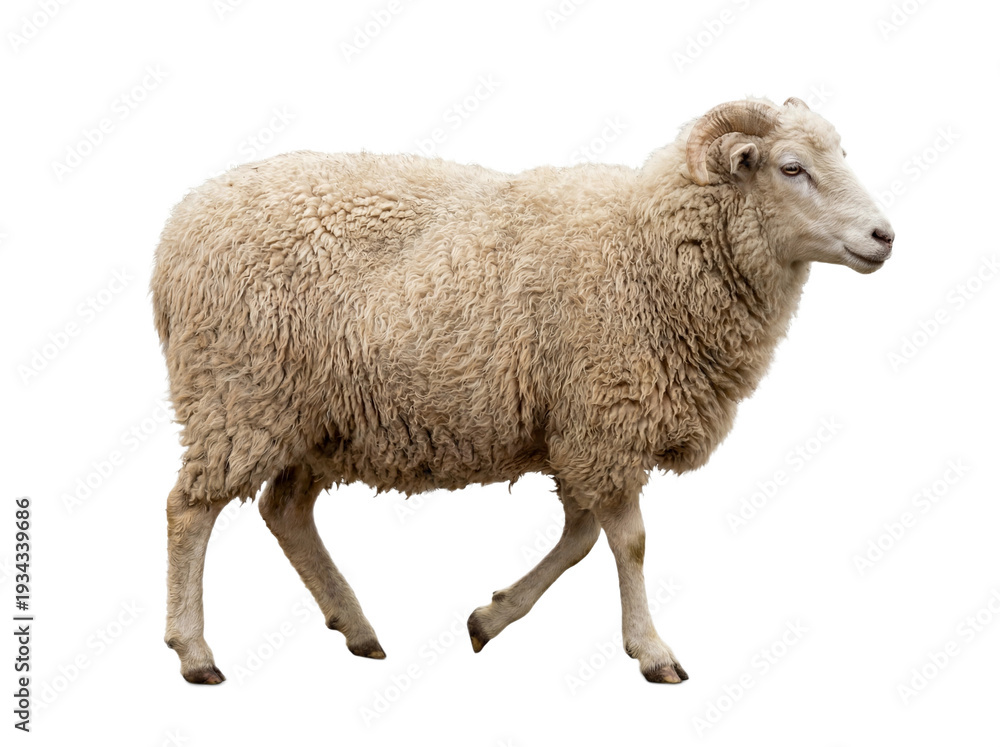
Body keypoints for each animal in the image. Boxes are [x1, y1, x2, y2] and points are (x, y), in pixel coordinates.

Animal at [153, 96, 894, 685]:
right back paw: (195, 652)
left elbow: (581, 539)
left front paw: (490, 617)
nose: (884, 236)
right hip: (239, 395)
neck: (650, 245)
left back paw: (356, 626)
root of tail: (179, 228)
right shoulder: (605, 419)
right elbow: (628, 543)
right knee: (189, 510)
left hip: (316, 418)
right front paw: (652, 651)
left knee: (285, 511)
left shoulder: (576, 430)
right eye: (791, 167)